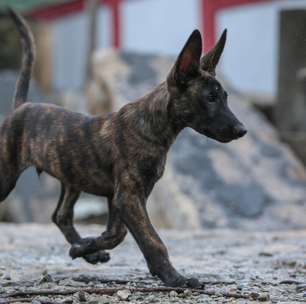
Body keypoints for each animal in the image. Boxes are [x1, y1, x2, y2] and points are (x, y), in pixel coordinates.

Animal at [0, 10, 246, 288]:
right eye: (210, 98)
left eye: (225, 97)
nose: (242, 130)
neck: (152, 126)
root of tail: (22, 106)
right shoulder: (127, 196)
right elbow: (152, 240)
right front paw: (174, 277)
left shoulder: (123, 197)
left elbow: (117, 234)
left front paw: (85, 248)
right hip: (7, 175)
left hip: (72, 177)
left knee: (61, 215)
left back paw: (87, 251)